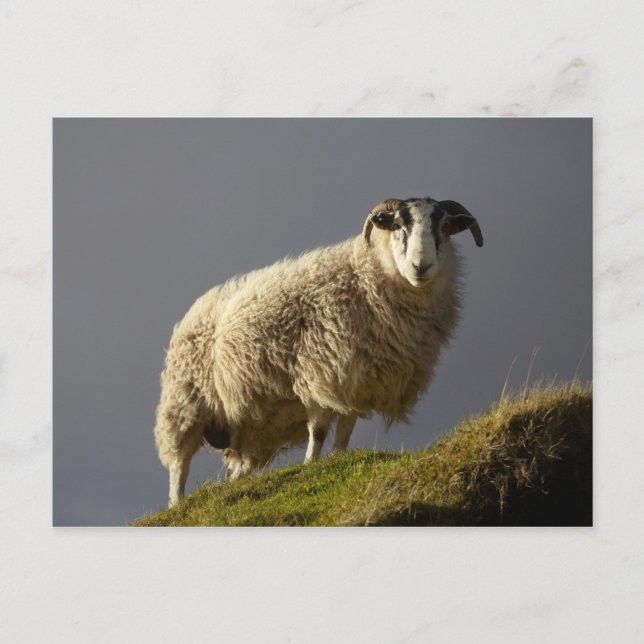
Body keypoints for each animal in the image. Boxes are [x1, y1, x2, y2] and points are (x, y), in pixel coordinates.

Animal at [154, 196, 483, 506]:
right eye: (399, 225)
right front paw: (311, 464)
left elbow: (346, 429)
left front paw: (338, 459)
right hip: (184, 404)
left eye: (444, 227)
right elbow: (319, 430)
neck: (365, 276)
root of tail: (192, 313)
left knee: (238, 469)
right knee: (179, 466)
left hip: (253, 430)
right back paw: (177, 504)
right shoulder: (318, 371)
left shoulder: (358, 383)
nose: (420, 267)